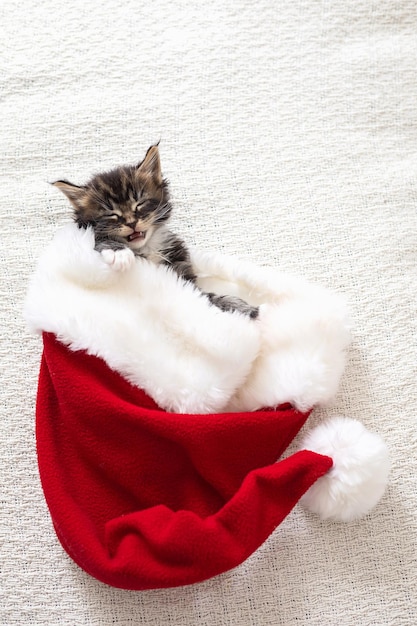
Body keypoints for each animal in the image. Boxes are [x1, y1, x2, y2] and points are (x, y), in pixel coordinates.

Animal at [53, 142, 258, 316]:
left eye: (140, 204)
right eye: (111, 214)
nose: (131, 222)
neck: (146, 248)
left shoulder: (181, 274)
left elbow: (204, 297)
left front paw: (239, 307)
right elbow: (100, 239)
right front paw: (119, 253)